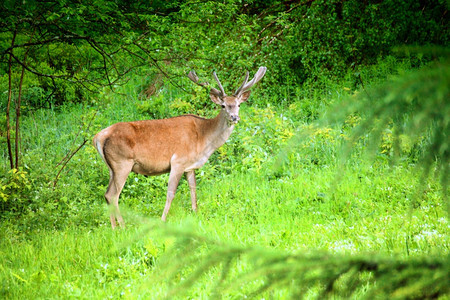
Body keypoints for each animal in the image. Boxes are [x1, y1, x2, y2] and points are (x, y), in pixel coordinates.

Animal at [92, 67, 266, 229]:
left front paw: (196, 213)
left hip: (112, 167)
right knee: (113, 195)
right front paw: (162, 220)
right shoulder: (178, 161)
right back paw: (122, 226)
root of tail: (98, 137)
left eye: (238, 104)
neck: (203, 140)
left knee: (107, 194)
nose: (234, 117)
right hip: (122, 162)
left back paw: (114, 227)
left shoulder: (190, 166)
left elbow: (193, 189)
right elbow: (171, 193)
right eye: (223, 105)